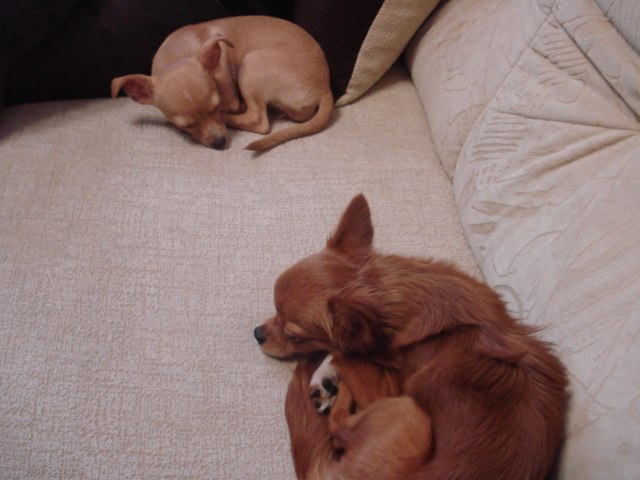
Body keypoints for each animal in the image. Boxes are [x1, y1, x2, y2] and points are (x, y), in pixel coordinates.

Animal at [111, 16, 333, 151]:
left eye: (216, 107)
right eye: (186, 125)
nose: (219, 143)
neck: (178, 54)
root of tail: (325, 89)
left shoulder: (229, 101)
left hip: (251, 64)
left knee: (259, 121)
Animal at [255, 194, 568, 480]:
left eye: (293, 334)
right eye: (275, 311)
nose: (257, 334)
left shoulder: (386, 389)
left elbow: (348, 353)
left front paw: (329, 370)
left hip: (405, 410)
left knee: (339, 426)